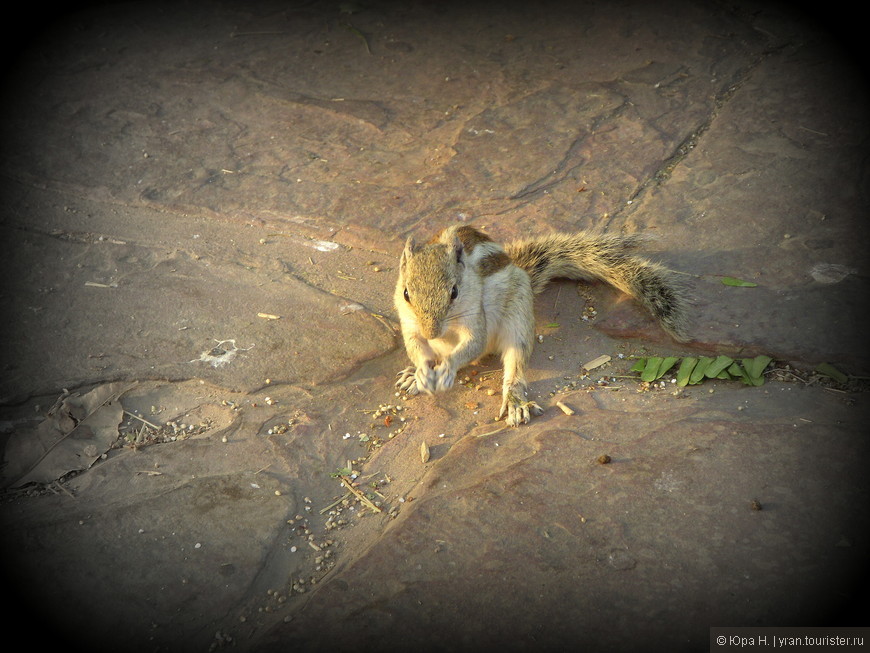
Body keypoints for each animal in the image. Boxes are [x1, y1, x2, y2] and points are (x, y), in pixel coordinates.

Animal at [394, 224, 688, 428]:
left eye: (454, 292)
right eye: (407, 293)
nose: (432, 332)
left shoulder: (475, 319)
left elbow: (471, 346)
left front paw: (446, 368)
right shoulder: (409, 325)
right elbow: (415, 347)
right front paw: (422, 371)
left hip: (519, 317)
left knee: (513, 365)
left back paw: (515, 402)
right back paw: (414, 377)